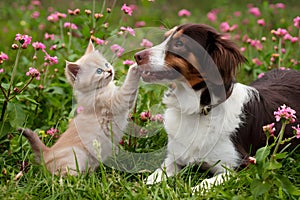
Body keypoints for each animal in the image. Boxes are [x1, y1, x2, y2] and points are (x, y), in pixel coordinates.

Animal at [18, 40, 141, 175]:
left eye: (106, 63)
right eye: (99, 71)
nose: (109, 70)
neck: (96, 91)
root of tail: (47, 153)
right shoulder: (118, 100)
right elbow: (129, 87)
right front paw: (135, 66)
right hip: (76, 156)